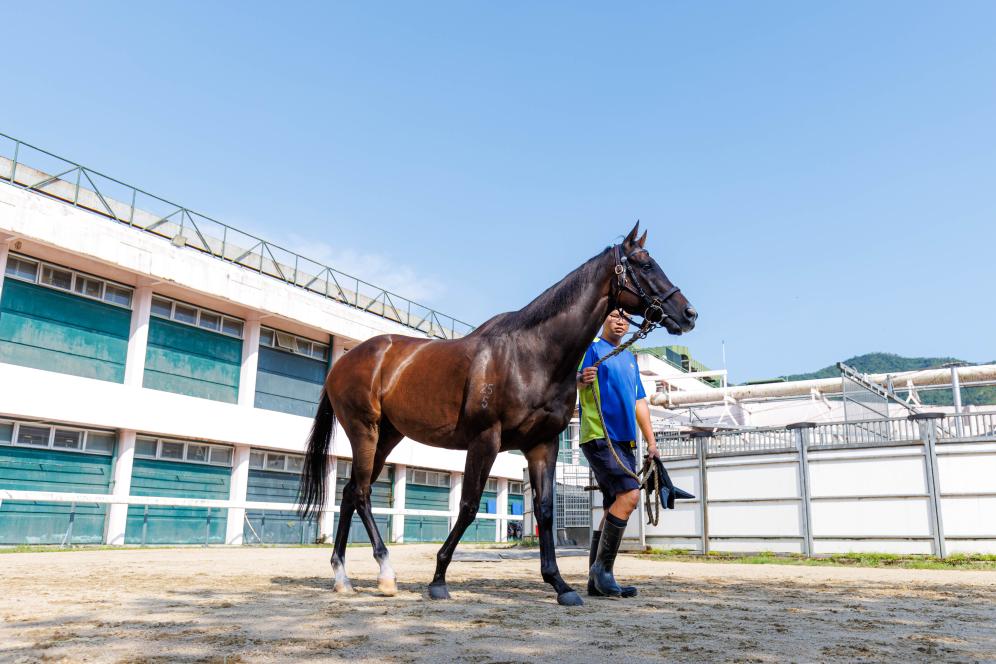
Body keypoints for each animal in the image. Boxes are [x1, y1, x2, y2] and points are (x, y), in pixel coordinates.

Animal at [299, 222, 697, 606]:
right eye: (645, 265)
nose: (688, 314)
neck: (532, 354)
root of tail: (345, 361)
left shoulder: (542, 445)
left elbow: (545, 511)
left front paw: (559, 584)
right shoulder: (485, 440)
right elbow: (469, 505)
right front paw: (439, 579)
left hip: (387, 436)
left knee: (351, 492)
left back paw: (342, 577)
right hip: (364, 430)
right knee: (363, 492)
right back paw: (385, 573)